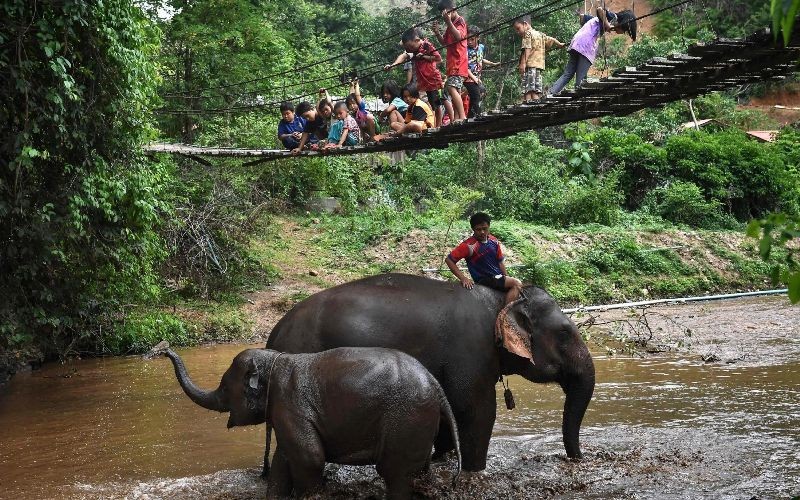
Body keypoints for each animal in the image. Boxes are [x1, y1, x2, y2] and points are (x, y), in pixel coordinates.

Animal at [157, 345, 461, 499]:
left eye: (224, 388)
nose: (162, 350)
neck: (275, 361)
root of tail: (437, 388)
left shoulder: (290, 405)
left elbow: (310, 457)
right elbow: (283, 460)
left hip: (406, 419)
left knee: (395, 474)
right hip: (417, 424)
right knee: (417, 474)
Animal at [263, 273, 596, 474]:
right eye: (565, 334)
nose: (577, 458)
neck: (500, 300)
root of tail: (274, 332)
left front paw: (438, 461)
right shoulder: (470, 351)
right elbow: (476, 411)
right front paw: (474, 470)